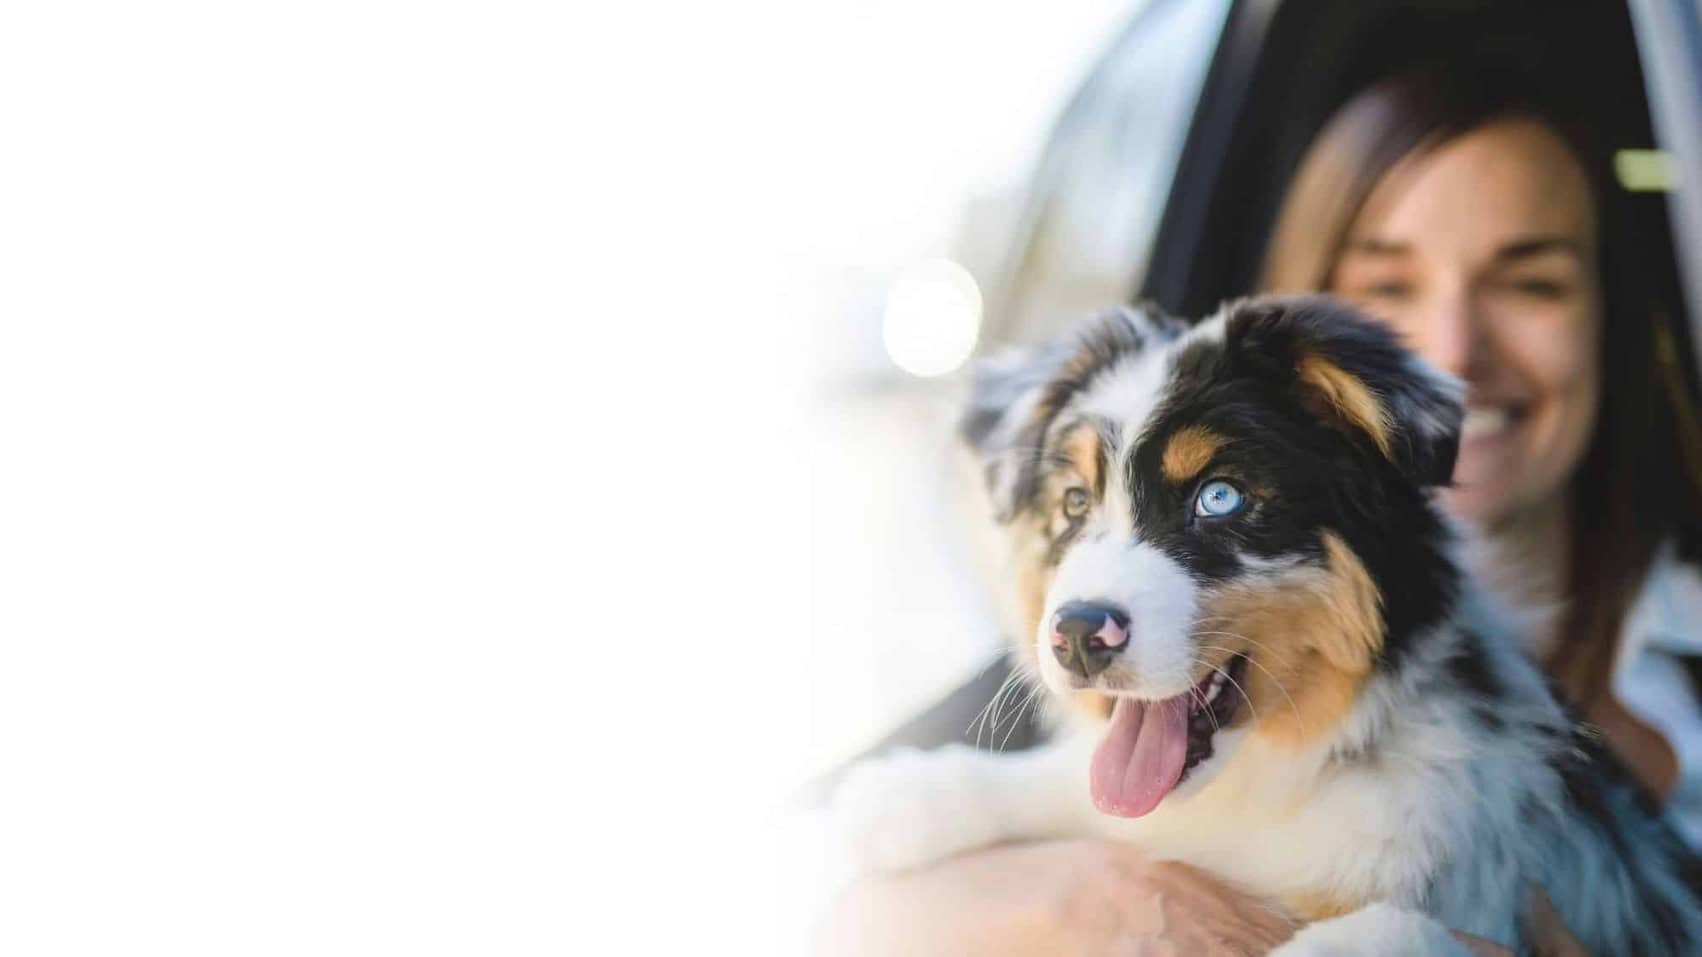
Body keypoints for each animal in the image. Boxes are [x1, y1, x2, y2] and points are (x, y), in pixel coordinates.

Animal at [834, 296, 1702, 954]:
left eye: (1219, 497)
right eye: (1075, 503)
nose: (1077, 635)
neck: (1291, 772)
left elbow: (1393, 929)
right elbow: (1071, 783)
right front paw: (903, 798)